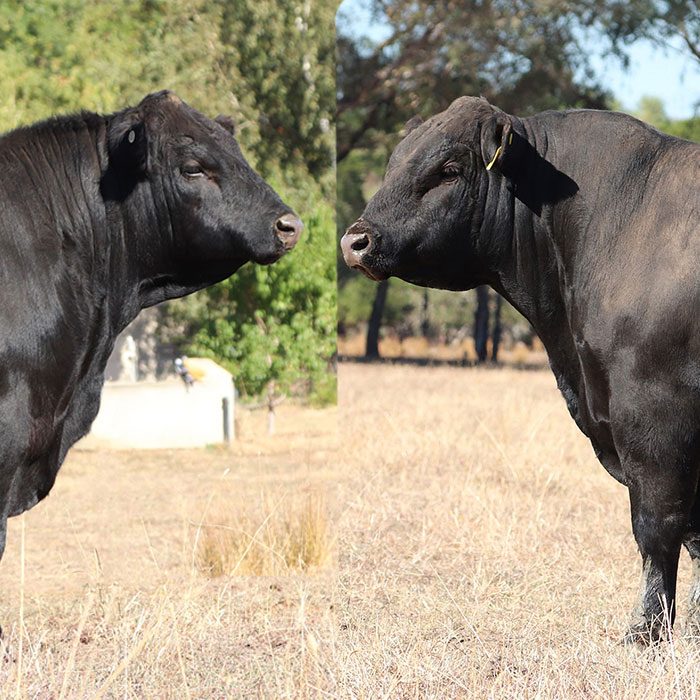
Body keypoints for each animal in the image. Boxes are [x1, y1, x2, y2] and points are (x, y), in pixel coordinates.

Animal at [341, 96, 700, 646]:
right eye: (394, 162)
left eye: (449, 169)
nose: (356, 240)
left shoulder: (652, 410)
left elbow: (658, 525)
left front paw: (643, 634)